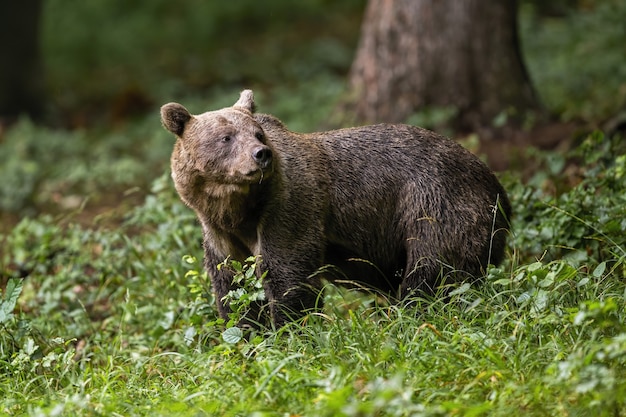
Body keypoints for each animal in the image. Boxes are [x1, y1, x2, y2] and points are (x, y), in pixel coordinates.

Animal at [158, 89, 510, 326]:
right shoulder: (219, 231)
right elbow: (231, 284)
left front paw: (289, 328)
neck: (239, 209)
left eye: (257, 133)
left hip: (435, 202)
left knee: (432, 270)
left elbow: (287, 273)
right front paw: (248, 332)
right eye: (226, 137)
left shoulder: (289, 207)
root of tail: (497, 184)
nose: (260, 155)